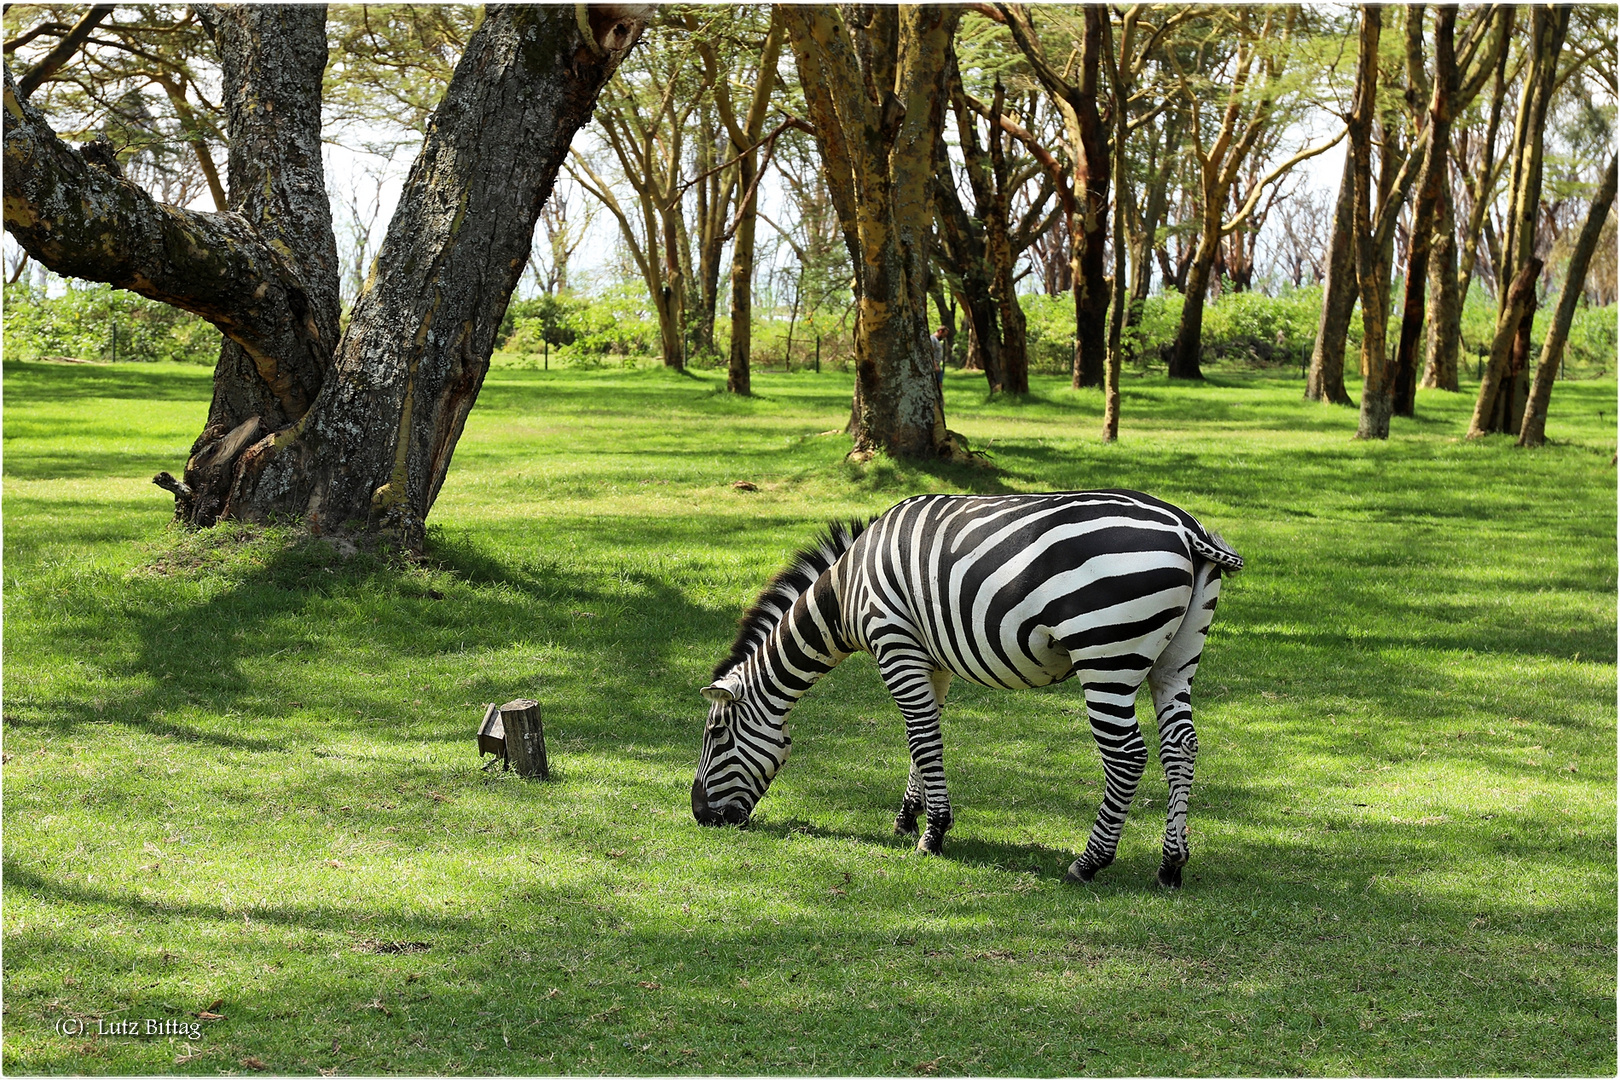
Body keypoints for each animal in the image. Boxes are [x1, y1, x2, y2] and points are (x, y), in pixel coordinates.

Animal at [686, 488, 1237, 887]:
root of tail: (1187, 528)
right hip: (1175, 660)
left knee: (1127, 755)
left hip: (1107, 654)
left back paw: (1088, 862)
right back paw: (1171, 864)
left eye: (716, 737)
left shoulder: (894, 641)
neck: (844, 594)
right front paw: (909, 818)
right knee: (1181, 747)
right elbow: (924, 736)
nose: (699, 816)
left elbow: (922, 736)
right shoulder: (930, 658)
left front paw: (933, 833)